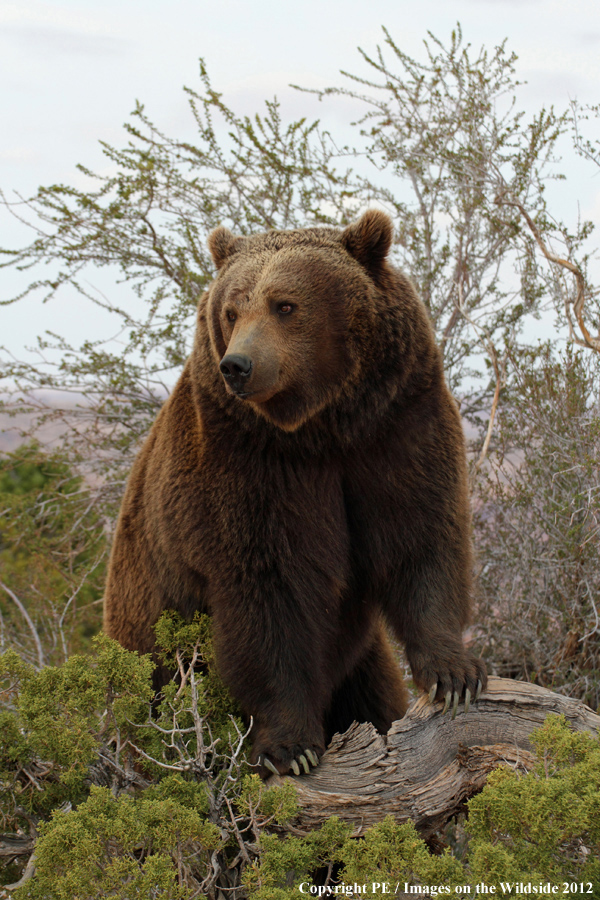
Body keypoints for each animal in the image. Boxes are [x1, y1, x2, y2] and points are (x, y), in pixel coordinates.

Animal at [103, 207, 488, 776]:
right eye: (232, 310)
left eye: (285, 305)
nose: (237, 365)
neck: (320, 428)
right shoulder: (247, 465)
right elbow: (270, 594)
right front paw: (290, 748)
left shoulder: (396, 423)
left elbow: (420, 535)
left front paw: (454, 673)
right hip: (150, 638)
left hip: (359, 655)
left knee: (372, 691)